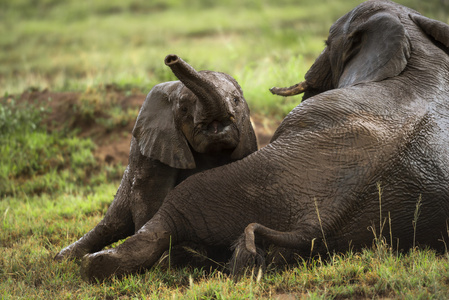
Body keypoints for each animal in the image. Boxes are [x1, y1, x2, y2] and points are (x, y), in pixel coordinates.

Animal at [55, 55, 258, 262]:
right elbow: (150, 192)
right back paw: (63, 258)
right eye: (184, 109)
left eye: (236, 100)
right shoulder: (154, 143)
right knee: (114, 222)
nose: (171, 59)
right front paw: (164, 257)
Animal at [80, 0, 448, 282]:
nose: (171, 58)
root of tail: (319, 220)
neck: (419, 45)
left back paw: (98, 264)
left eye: (326, 43)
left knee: (177, 208)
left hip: (254, 182)